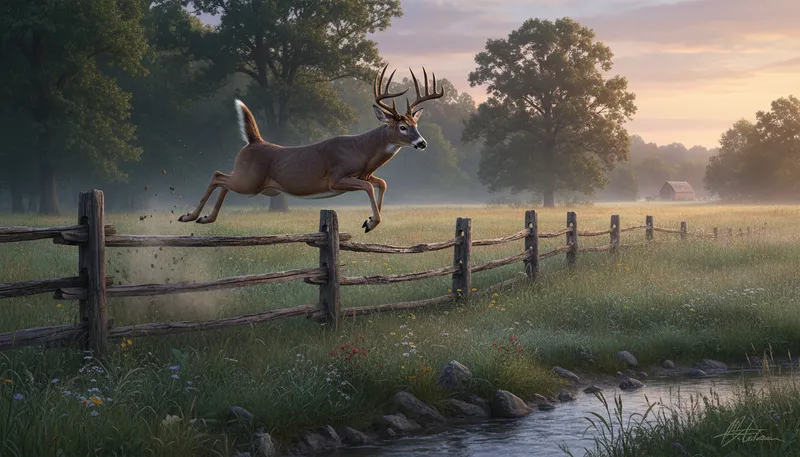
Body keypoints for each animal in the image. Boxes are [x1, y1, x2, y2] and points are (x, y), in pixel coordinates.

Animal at [177, 64, 445, 233]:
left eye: (416, 124)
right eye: (402, 127)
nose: (422, 143)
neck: (362, 151)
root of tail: (255, 142)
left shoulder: (364, 174)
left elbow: (382, 183)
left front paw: (369, 221)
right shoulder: (336, 178)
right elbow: (370, 186)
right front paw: (370, 222)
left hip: (251, 182)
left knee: (224, 181)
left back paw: (205, 218)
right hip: (249, 181)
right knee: (217, 176)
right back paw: (189, 215)